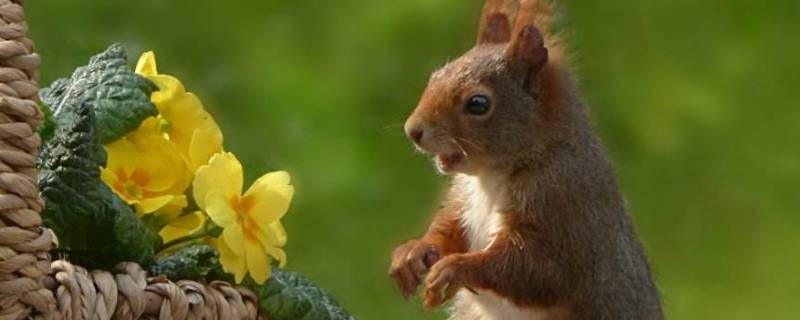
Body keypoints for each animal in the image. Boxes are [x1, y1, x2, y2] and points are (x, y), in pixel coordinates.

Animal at [388, 1, 664, 318]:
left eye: (478, 103)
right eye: (435, 77)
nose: (413, 130)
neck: (492, 177)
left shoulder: (566, 205)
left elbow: (537, 270)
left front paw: (456, 267)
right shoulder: (463, 197)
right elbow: (449, 227)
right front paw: (413, 252)